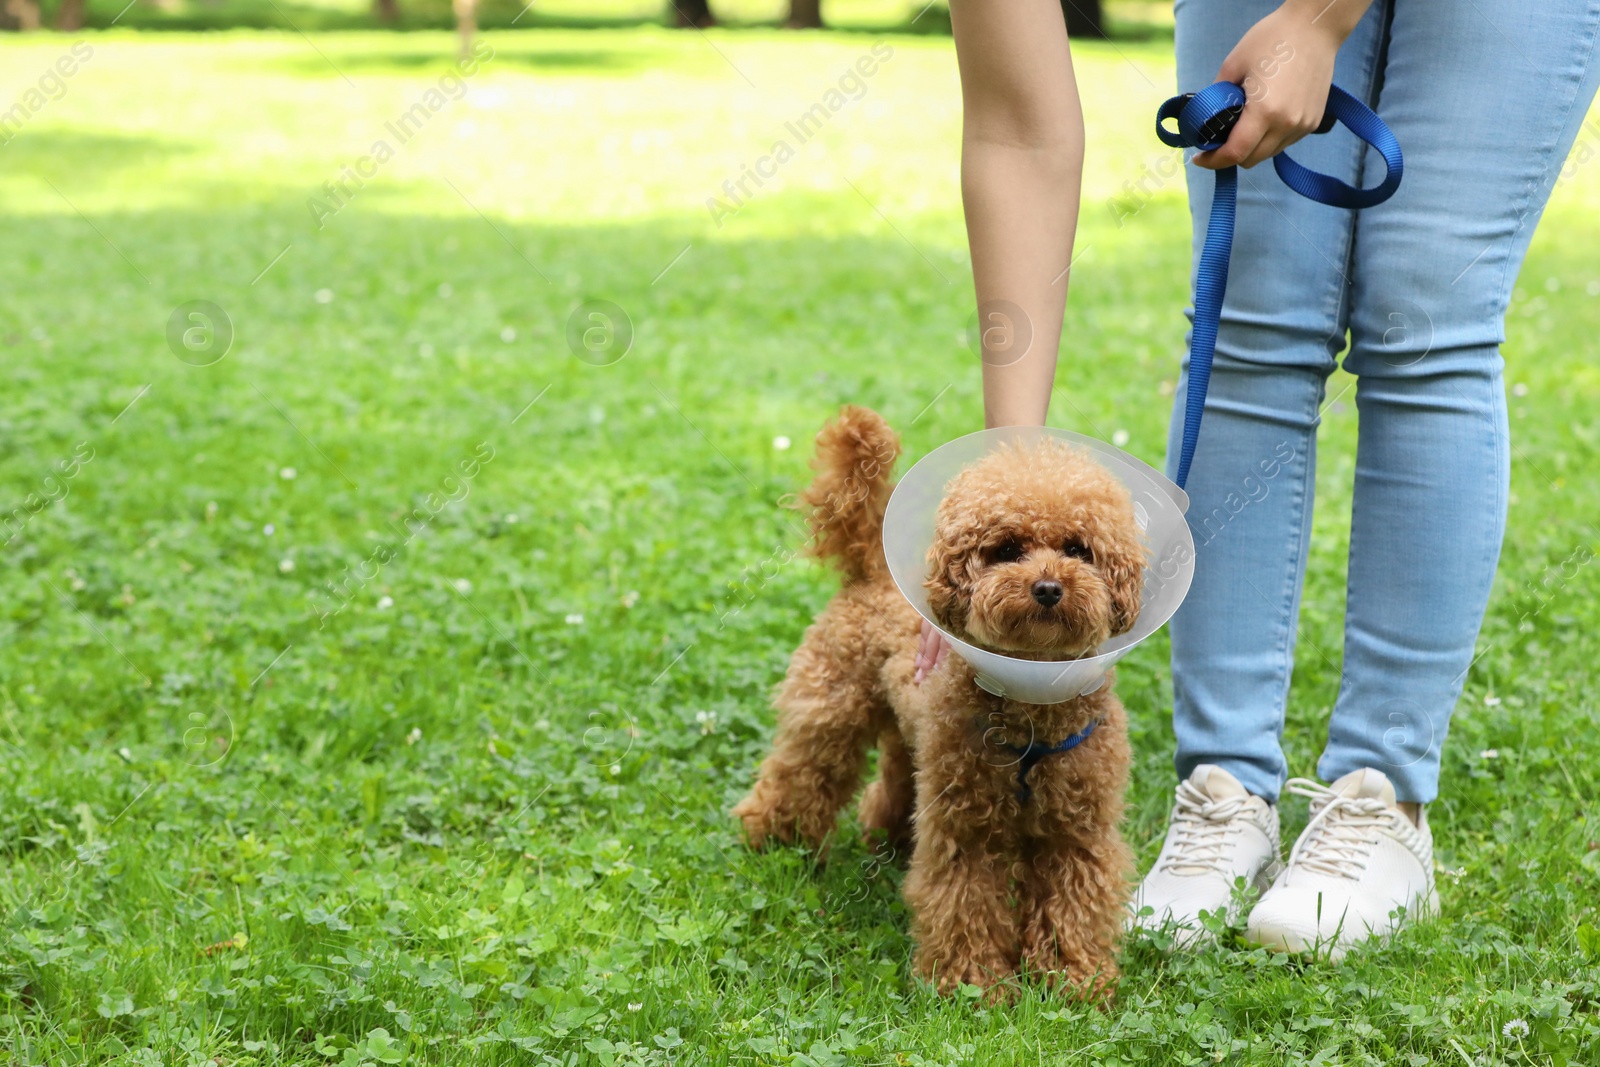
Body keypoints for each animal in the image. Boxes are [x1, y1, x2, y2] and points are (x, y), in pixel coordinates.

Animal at [732, 406, 1145, 1004]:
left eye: (1077, 549)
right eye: (1007, 549)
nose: (1048, 588)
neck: (1031, 711)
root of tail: (872, 572)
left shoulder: (1077, 832)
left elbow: (1075, 905)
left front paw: (1075, 981)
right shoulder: (965, 830)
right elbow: (964, 900)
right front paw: (973, 986)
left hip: (917, 744)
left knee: (892, 780)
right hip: (831, 711)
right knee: (800, 775)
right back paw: (771, 841)